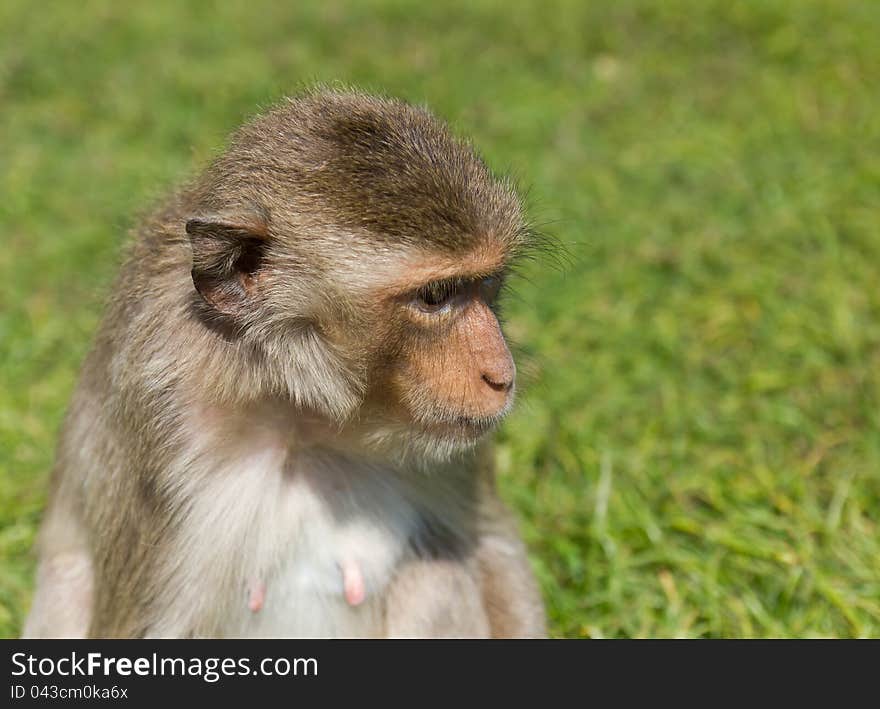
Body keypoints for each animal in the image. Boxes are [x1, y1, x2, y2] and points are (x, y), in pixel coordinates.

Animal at [24, 87, 548, 636]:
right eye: (436, 296)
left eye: (486, 284)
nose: (501, 376)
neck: (297, 412)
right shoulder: (163, 424)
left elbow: (492, 544)